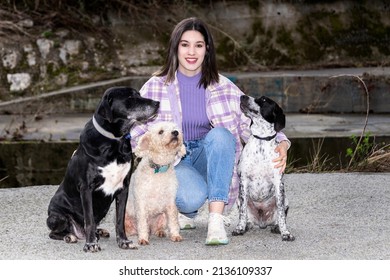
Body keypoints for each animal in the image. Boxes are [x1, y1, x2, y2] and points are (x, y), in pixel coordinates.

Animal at [46, 85, 159, 252]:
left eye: (138, 94)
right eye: (130, 97)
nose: (157, 103)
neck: (115, 142)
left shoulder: (123, 188)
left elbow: (119, 220)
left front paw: (124, 241)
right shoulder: (86, 188)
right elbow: (89, 220)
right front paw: (91, 244)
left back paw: (99, 232)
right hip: (56, 217)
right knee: (55, 232)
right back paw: (70, 236)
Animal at [233, 95, 294, 242]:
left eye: (264, 100)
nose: (242, 96)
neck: (261, 139)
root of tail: (262, 223)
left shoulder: (278, 183)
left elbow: (282, 215)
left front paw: (285, 233)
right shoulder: (244, 181)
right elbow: (242, 212)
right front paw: (239, 228)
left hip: (286, 200)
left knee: (279, 216)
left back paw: (277, 227)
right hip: (238, 200)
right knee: (246, 215)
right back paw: (246, 225)